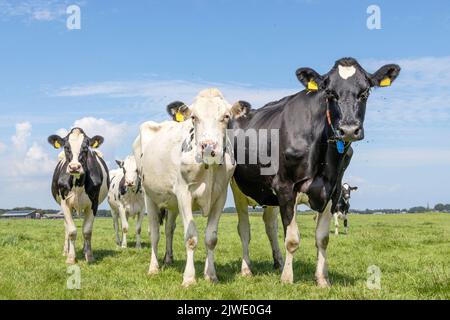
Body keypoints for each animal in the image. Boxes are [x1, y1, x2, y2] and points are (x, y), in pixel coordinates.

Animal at [48, 127, 109, 264]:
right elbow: (71, 231)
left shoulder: (94, 203)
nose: (74, 167)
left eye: (85, 148)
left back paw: (85, 250)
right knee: (66, 228)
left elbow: (87, 231)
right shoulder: (65, 203)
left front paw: (89, 256)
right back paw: (66, 251)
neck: (78, 183)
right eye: (66, 147)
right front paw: (71, 257)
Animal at [134, 88, 248, 288]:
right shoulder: (184, 194)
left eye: (226, 116)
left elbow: (211, 238)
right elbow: (191, 237)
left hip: (171, 203)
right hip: (149, 196)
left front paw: (211, 275)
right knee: (154, 233)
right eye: (194, 117)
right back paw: (154, 268)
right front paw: (189, 278)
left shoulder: (220, 196)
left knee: (169, 229)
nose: (208, 146)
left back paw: (168, 259)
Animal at [230, 56, 400, 286]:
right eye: (329, 93)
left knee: (270, 227)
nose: (348, 130)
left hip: (267, 193)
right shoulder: (285, 187)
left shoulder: (332, 190)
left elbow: (322, 238)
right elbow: (292, 239)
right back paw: (247, 269)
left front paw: (321, 279)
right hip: (237, 187)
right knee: (244, 229)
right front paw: (287, 279)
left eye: (365, 92)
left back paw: (278, 263)